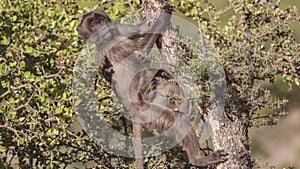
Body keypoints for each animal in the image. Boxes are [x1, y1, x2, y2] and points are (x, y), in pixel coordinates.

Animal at [77, 6, 227, 168]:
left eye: (101, 21)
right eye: (94, 26)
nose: (103, 28)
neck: (107, 38)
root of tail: (133, 113)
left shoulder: (118, 29)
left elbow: (142, 29)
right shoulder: (111, 47)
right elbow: (141, 53)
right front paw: (162, 17)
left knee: (164, 79)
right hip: (149, 113)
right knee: (178, 119)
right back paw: (198, 159)